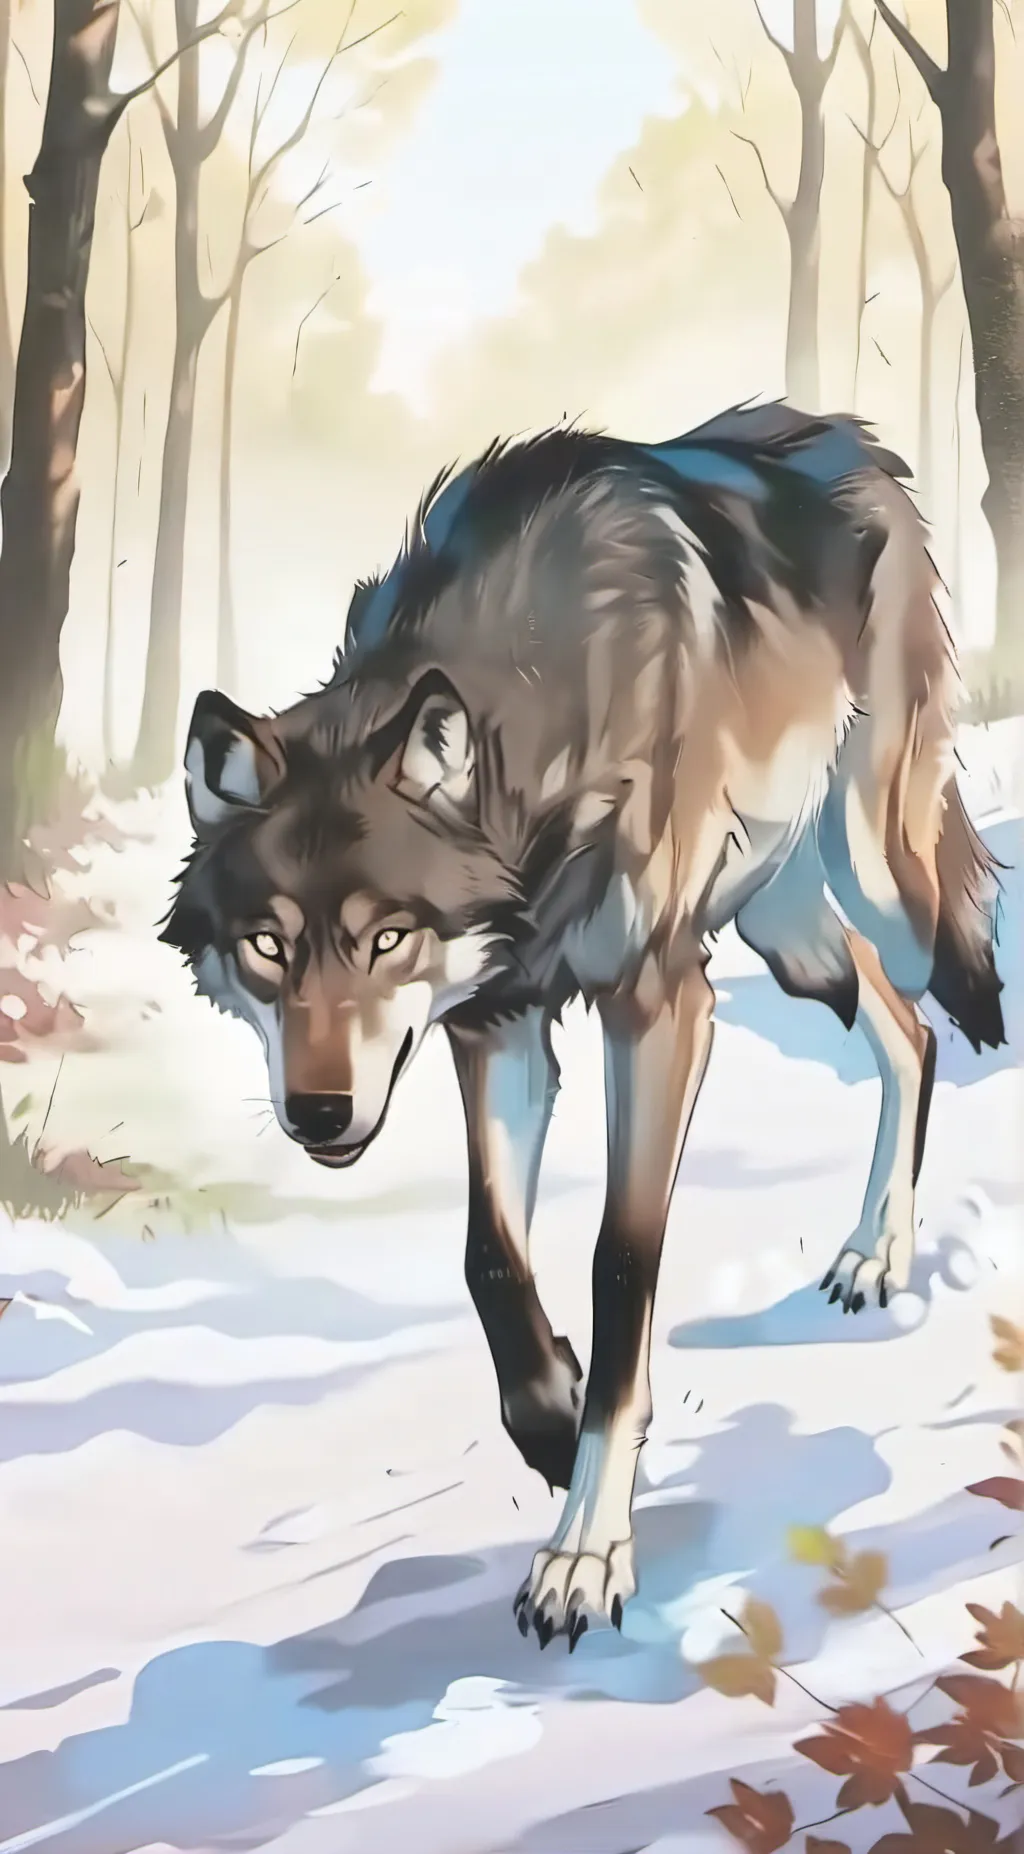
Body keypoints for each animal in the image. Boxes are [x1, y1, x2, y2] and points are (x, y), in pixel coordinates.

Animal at [162, 402, 1004, 1649]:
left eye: (386, 939)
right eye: (268, 946)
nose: (318, 1113)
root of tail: (840, 433)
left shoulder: (659, 1006)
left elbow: (619, 1260)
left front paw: (586, 1552)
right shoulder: (496, 1026)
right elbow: (488, 1256)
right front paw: (551, 1419)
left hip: (872, 869)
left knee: (936, 1002)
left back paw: (876, 1253)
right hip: (785, 933)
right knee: (906, 1029)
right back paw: (867, 1257)